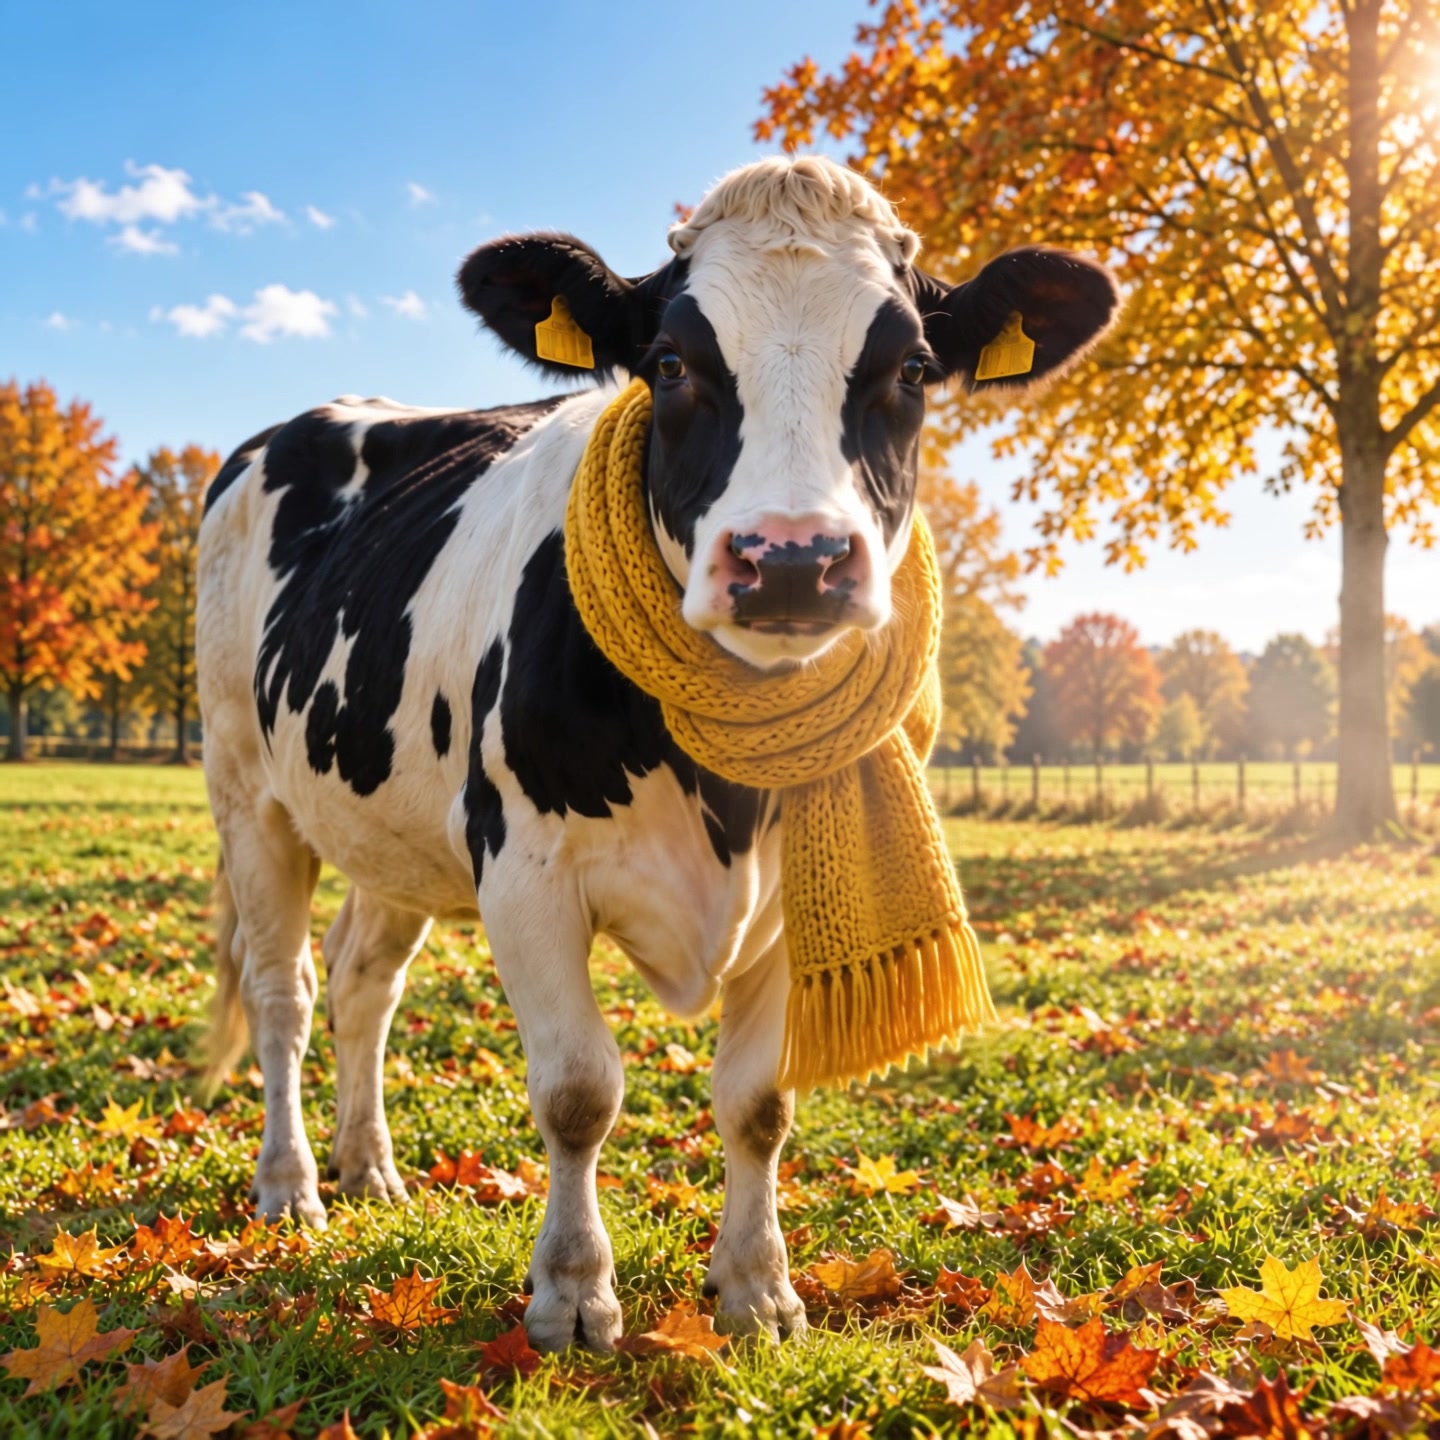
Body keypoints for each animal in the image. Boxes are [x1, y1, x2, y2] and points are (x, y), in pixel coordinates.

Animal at [196, 154, 1118, 1351]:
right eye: (672, 363)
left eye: (913, 367)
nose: (791, 558)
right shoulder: (523, 871)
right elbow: (579, 1090)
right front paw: (572, 1294)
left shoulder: (792, 902)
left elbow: (759, 1102)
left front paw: (758, 1289)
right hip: (246, 789)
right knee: (284, 994)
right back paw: (292, 1184)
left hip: (387, 822)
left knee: (365, 984)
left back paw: (372, 1170)